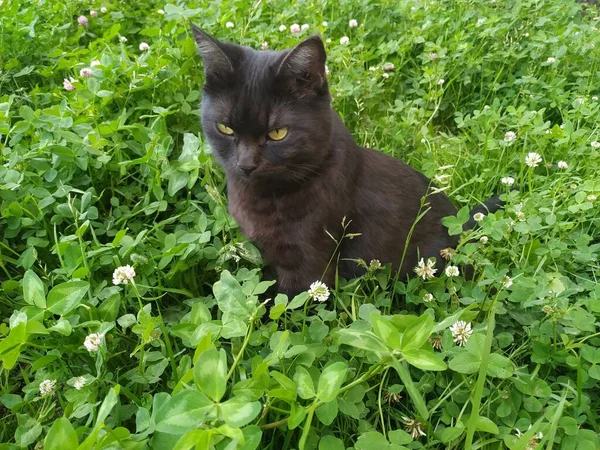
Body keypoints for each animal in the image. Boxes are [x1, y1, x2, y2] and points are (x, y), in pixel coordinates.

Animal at [192, 26, 502, 298]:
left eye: (277, 133)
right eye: (225, 128)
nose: (246, 164)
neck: (266, 195)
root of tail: (462, 227)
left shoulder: (310, 263)